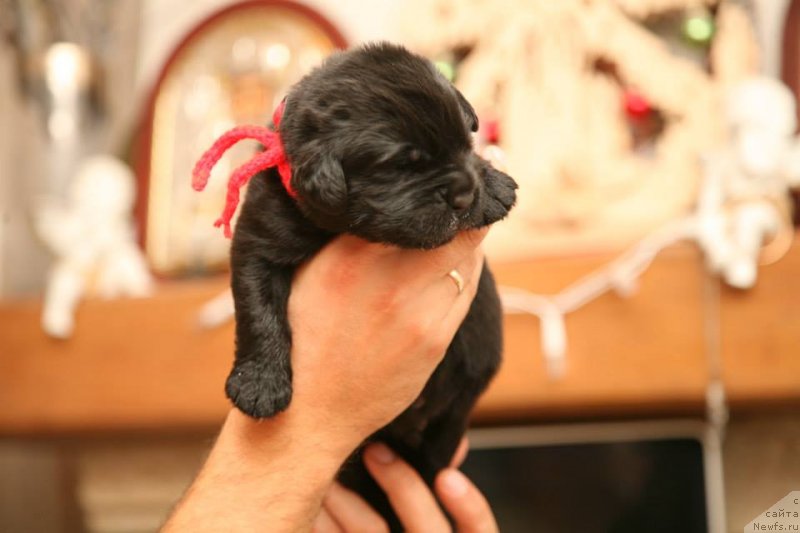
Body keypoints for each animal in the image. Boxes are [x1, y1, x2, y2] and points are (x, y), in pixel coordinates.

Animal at [200, 41, 516, 524]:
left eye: (466, 141)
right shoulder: (258, 241)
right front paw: (259, 387)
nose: (464, 196)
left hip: (451, 418)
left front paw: (493, 184)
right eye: (404, 165)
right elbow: (259, 313)